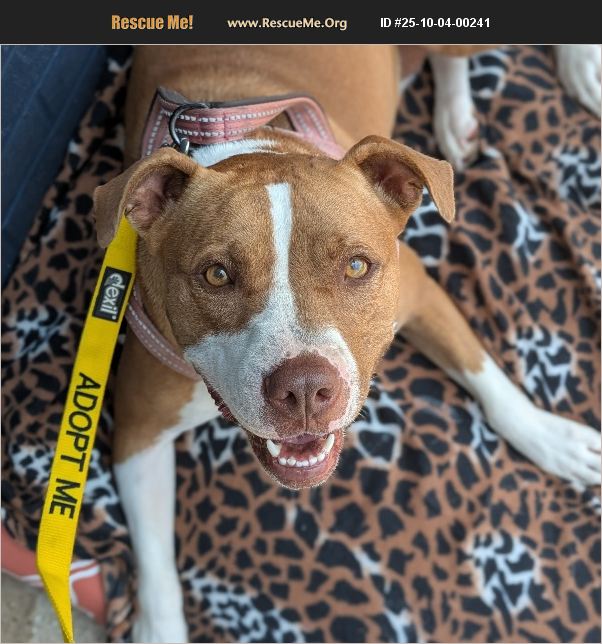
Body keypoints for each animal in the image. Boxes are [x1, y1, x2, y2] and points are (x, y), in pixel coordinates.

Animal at [92, 45, 601, 642]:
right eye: (216, 275)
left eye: (357, 266)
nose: (305, 388)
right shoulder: (138, 431)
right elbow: (155, 559)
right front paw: (159, 628)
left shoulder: (420, 291)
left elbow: (489, 381)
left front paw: (550, 437)